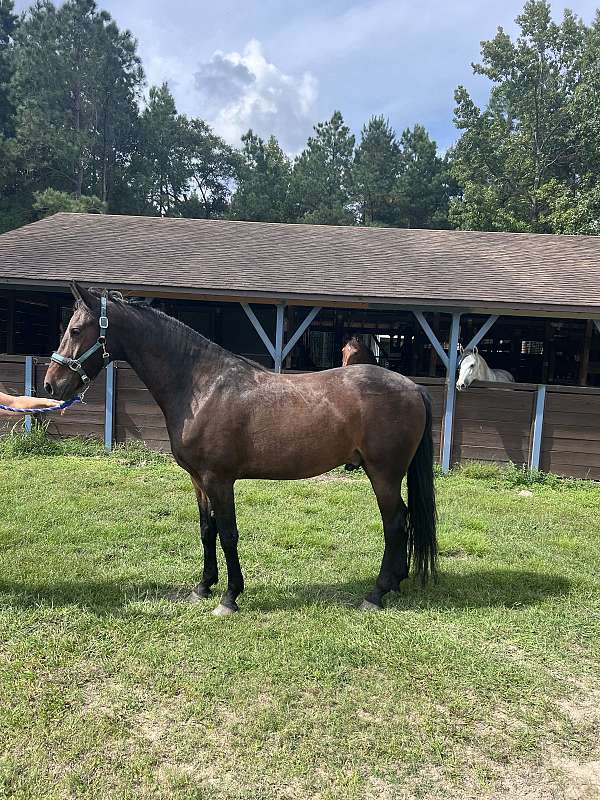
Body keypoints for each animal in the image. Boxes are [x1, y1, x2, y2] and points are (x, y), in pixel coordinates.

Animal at [43, 284, 436, 616]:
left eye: (75, 330)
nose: (51, 385)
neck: (202, 386)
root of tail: (413, 388)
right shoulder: (198, 480)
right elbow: (207, 530)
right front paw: (203, 587)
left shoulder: (220, 480)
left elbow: (228, 534)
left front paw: (229, 598)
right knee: (404, 519)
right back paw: (396, 583)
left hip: (383, 474)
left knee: (394, 523)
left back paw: (377, 593)